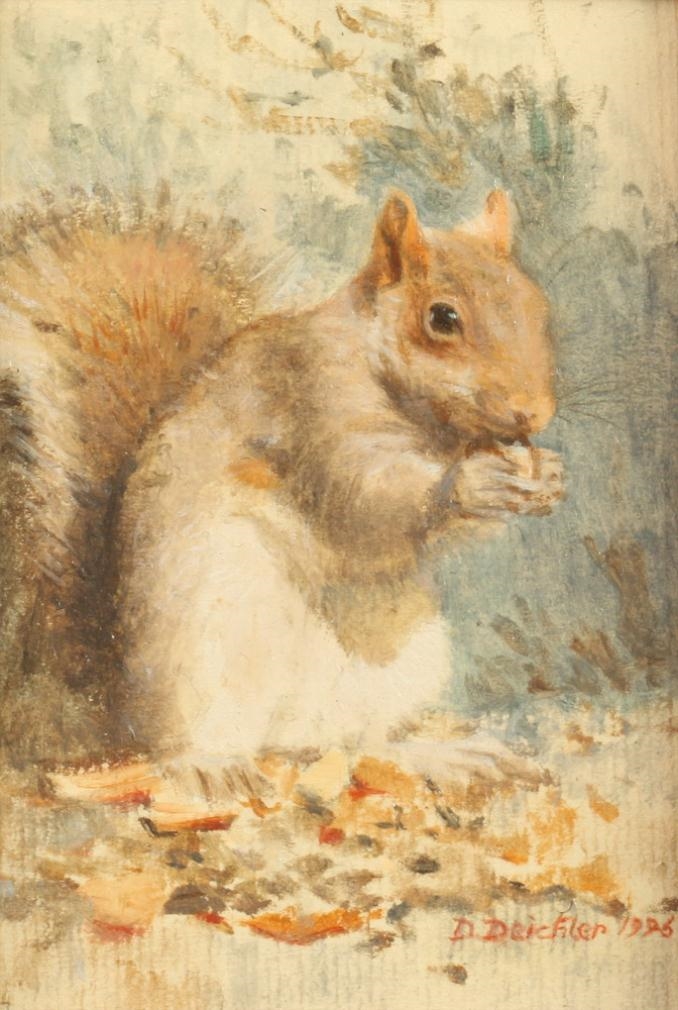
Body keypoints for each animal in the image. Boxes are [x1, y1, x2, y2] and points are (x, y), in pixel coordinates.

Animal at [0, 186, 563, 789]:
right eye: (442, 316)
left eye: (538, 307)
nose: (533, 413)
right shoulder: (310, 401)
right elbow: (366, 499)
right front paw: (473, 481)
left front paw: (549, 476)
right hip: (201, 648)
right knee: (187, 741)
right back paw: (210, 766)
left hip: (406, 657)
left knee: (363, 744)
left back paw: (443, 753)